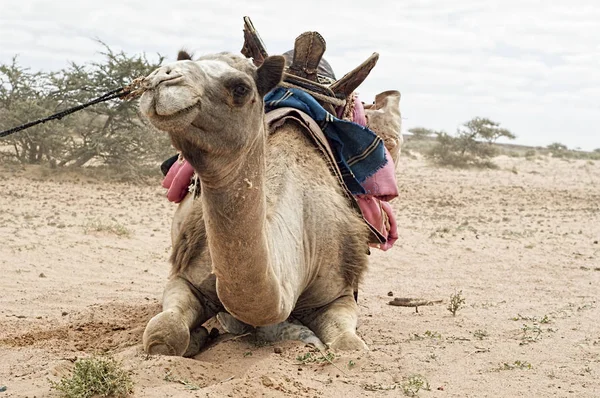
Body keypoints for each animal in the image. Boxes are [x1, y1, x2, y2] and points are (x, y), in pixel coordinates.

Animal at [140, 51, 376, 356]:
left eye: (241, 88)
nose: (161, 78)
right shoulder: (186, 278)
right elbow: (164, 333)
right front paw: (198, 336)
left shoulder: (339, 292)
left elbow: (351, 345)